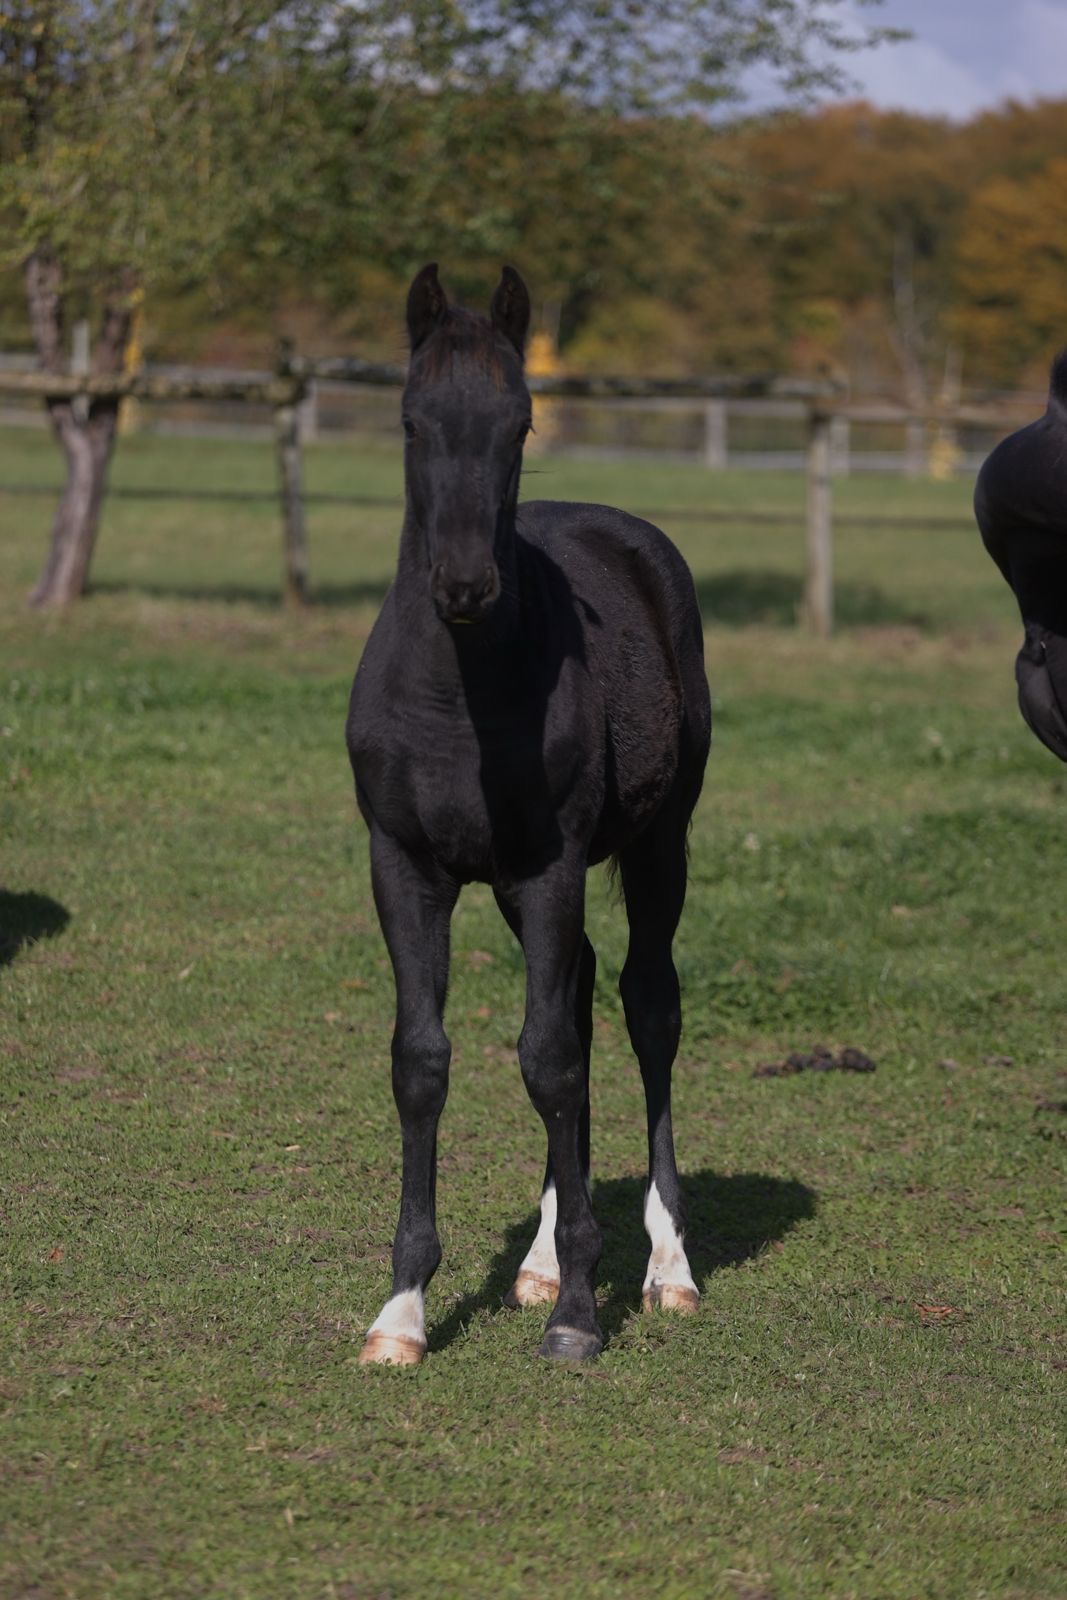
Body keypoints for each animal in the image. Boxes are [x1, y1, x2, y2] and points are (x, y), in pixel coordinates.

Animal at [346, 264, 711, 1363]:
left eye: (520, 421)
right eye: (411, 418)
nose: (465, 584)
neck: (457, 697)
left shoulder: (550, 866)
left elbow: (546, 1059)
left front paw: (579, 1315)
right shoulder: (404, 865)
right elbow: (423, 1061)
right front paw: (402, 1311)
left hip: (656, 845)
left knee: (642, 1008)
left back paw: (665, 1266)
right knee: (581, 998)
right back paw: (542, 1258)